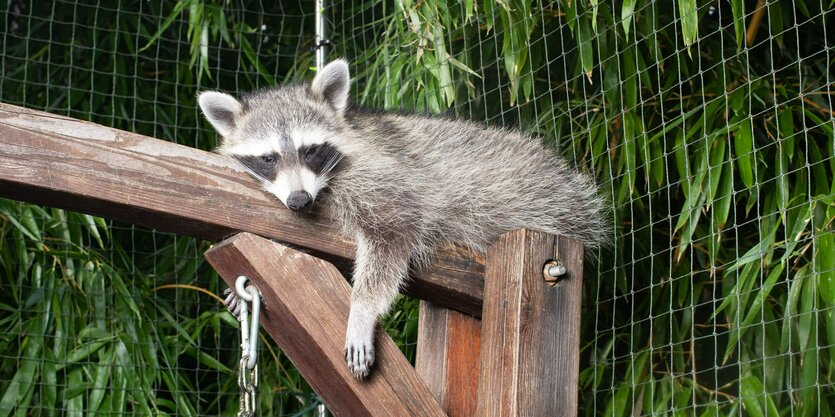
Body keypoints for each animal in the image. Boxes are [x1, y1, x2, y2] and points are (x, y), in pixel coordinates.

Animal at [199, 58, 612, 376]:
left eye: (310, 150)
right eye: (268, 158)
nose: (299, 200)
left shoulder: (383, 175)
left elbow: (394, 232)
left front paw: (362, 309)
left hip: (533, 198)